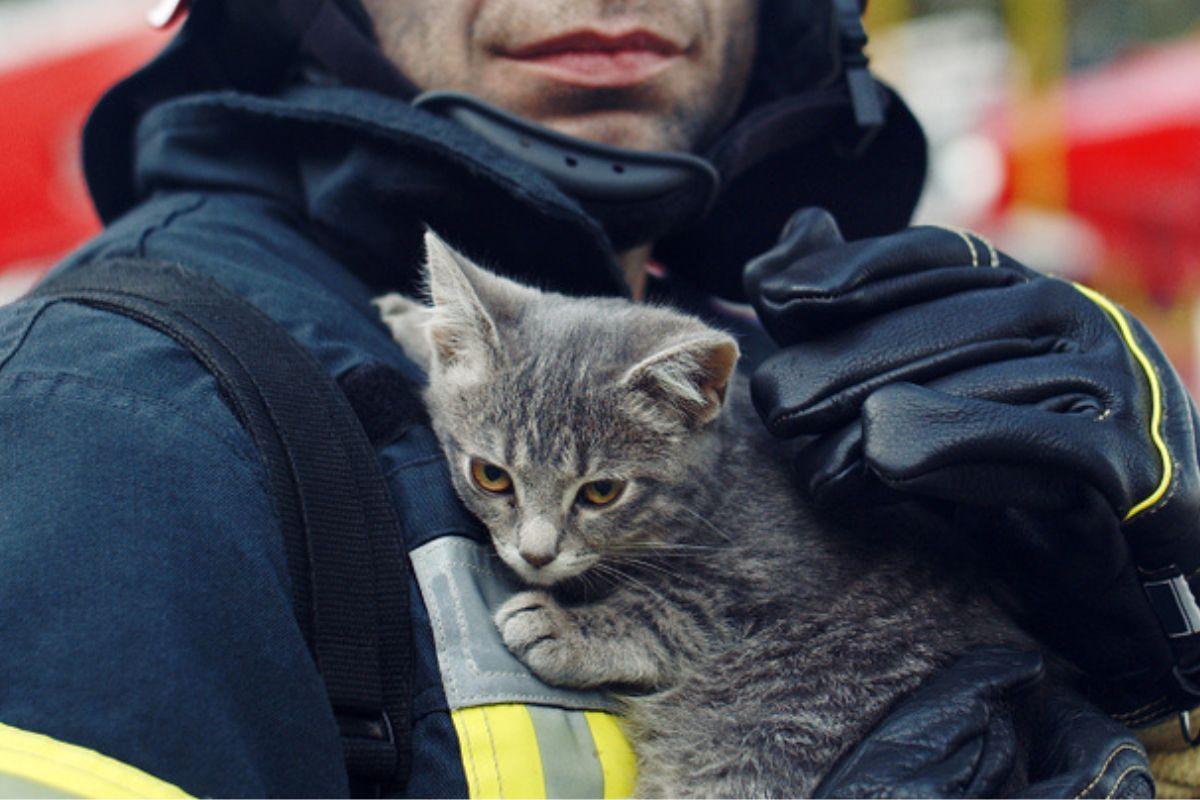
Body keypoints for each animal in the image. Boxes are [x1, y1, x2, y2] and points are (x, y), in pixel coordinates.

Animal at [376, 227, 1032, 796]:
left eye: (600, 493)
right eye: (492, 476)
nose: (537, 553)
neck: (716, 486)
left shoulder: (771, 569)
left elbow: (677, 607)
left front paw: (569, 628)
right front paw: (416, 323)